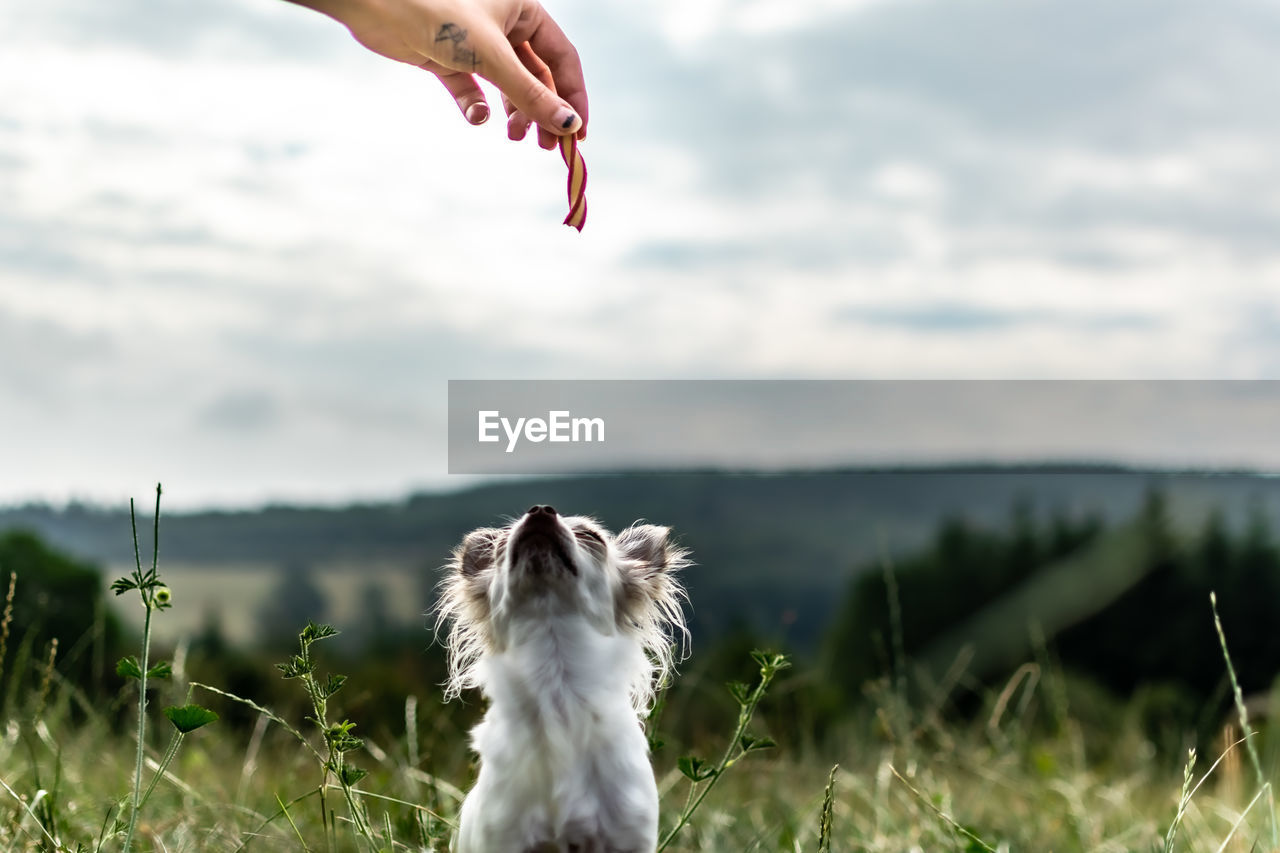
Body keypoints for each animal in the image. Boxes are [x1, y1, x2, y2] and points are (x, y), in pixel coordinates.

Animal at [432, 504, 691, 850]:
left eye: (592, 537)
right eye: (501, 544)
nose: (540, 510)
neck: (557, 693)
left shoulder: (627, 835)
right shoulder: (503, 837)